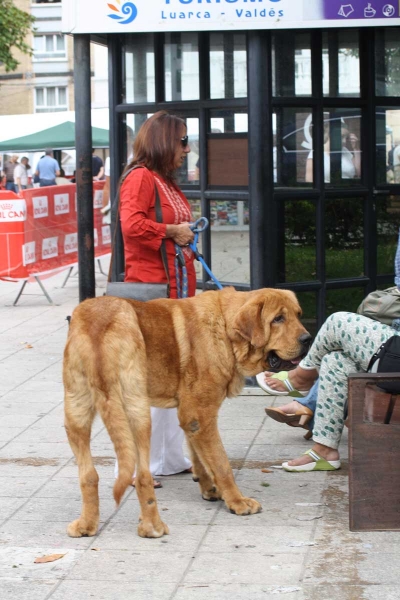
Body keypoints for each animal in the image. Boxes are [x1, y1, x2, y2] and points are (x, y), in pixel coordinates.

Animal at [64, 288, 310, 536]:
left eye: (298, 315)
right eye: (278, 319)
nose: (308, 339)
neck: (225, 328)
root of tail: (99, 324)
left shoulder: (192, 417)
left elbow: (199, 456)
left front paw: (210, 489)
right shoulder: (200, 415)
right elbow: (221, 464)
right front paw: (237, 501)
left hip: (75, 414)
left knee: (88, 475)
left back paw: (87, 524)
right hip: (137, 413)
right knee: (143, 476)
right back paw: (153, 527)